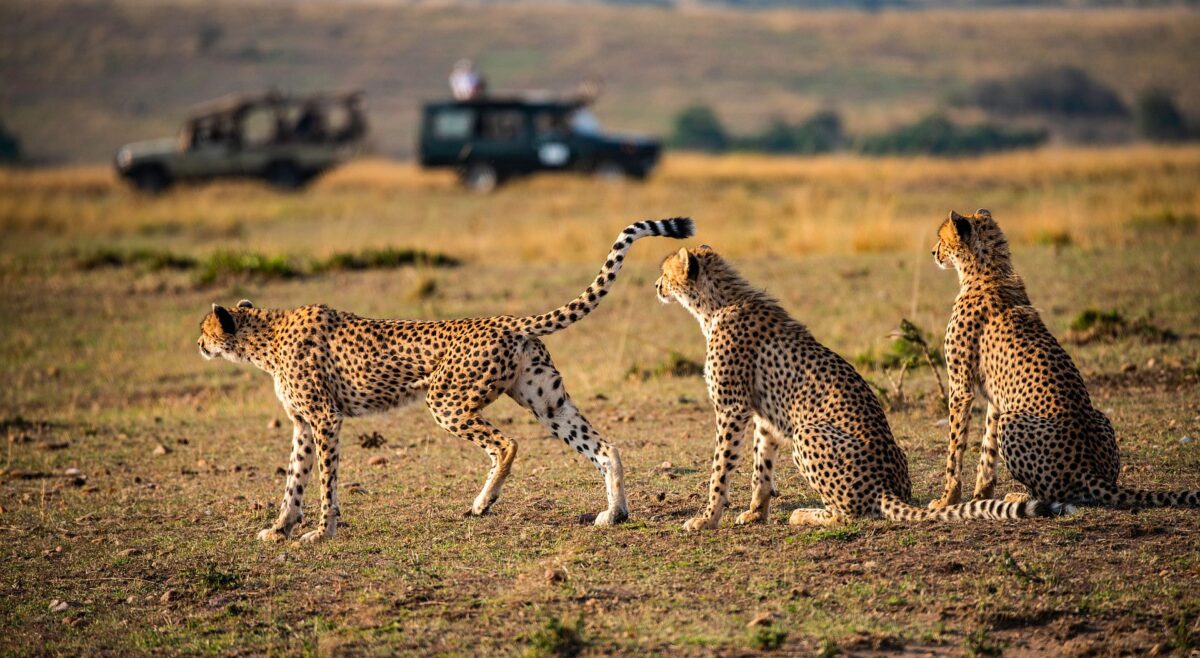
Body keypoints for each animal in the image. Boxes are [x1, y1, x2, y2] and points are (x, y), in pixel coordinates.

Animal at [196, 218, 696, 542]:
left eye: (204, 328)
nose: (198, 343)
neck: (265, 337)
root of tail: (508, 320)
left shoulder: (324, 419)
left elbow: (325, 480)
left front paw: (321, 532)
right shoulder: (302, 423)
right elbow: (294, 479)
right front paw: (279, 527)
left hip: (446, 401)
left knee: (507, 443)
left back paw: (483, 502)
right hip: (546, 401)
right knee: (605, 446)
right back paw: (615, 512)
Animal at [657, 241, 1070, 528]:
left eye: (664, 271)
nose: (657, 285)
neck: (715, 304)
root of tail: (887, 487)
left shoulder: (731, 408)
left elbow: (720, 467)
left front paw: (707, 518)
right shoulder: (764, 416)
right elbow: (762, 468)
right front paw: (755, 514)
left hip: (808, 432)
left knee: (849, 514)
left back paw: (808, 515)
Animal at [931, 208, 1195, 509]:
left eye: (941, 238)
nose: (933, 252)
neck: (986, 272)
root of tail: (1091, 470)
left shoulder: (960, 388)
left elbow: (955, 446)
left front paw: (947, 498)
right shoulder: (996, 398)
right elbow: (987, 448)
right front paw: (981, 495)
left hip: (1013, 421)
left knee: (1052, 495)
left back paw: (1021, 496)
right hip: (1097, 416)